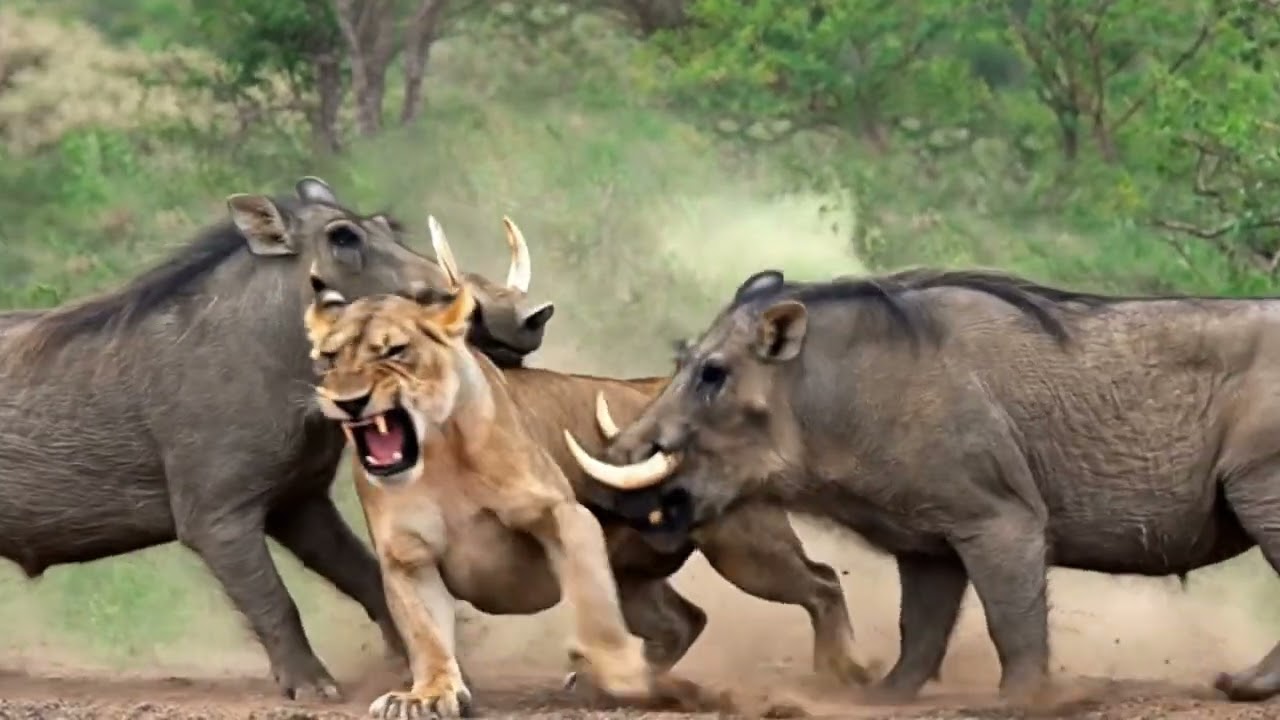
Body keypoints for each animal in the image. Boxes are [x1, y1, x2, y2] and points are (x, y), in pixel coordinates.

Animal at [304, 251, 657, 718]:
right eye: (329, 358)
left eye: (396, 351)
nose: (349, 401)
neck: (435, 459)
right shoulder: (406, 555)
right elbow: (425, 633)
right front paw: (427, 694)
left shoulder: (563, 514)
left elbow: (594, 599)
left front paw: (621, 672)